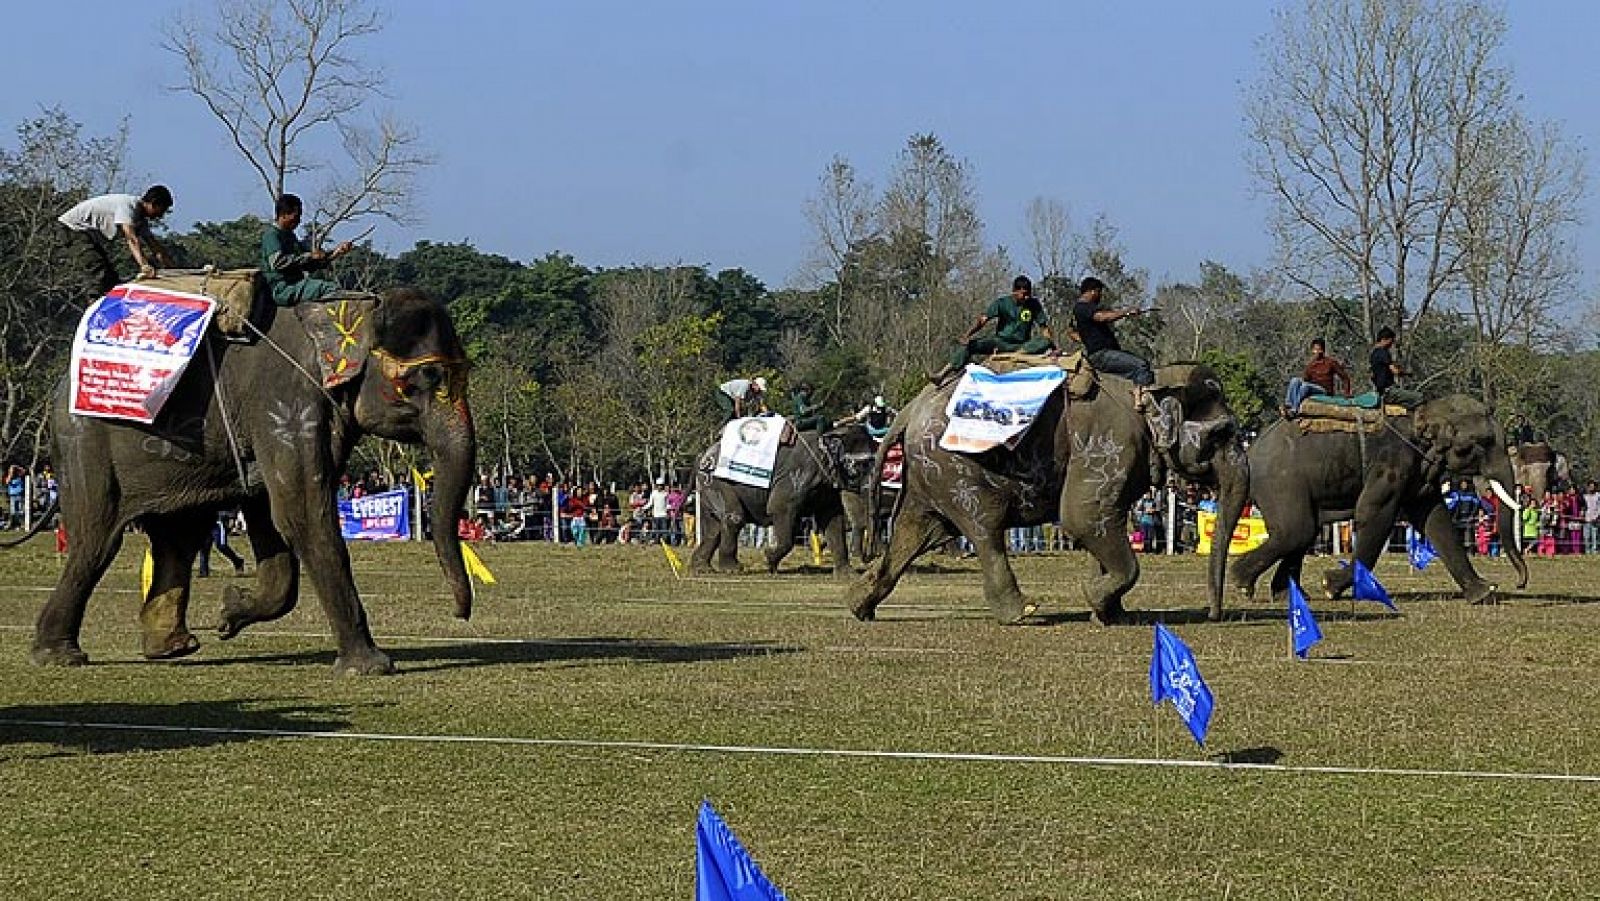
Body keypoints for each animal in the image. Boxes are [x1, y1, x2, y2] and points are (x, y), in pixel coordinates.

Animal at [32, 289, 473, 678]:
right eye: (425, 378)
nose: (459, 613)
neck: (348, 309)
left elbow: (272, 520)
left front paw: (228, 614)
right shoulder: (285, 406)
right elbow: (302, 514)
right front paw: (371, 667)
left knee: (179, 536)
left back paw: (172, 647)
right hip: (84, 446)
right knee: (97, 541)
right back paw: (59, 656)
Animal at [691, 419, 883, 576]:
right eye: (863, 464)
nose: (871, 559)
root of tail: (704, 455)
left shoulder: (828, 487)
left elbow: (833, 520)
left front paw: (848, 575)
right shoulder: (797, 476)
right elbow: (779, 509)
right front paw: (769, 560)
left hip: (709, 487)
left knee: (714, 527)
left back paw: (702, 569)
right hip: (716, 481)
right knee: (734, 518)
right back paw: (732, 569)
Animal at [844, 363, 1254, 624]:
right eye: (1221, 433)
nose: (1215, 615)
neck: (1150, 387)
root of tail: (909, 409)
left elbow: (1103, 522)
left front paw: (1110, 613)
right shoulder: (1112, 445)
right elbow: (1082, 518)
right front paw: (1095, 599)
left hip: (928, 475)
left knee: (916, 532)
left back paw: (859, 605)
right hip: (955, 467)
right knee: (984, 526)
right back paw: (1022, 612)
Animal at [1228, 395, 1529, 604]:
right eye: (1480, 444)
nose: (1520, 583)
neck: (1421, 414)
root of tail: (1250, 450)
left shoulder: (1419, 472)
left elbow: (1435, 519)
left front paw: (1483, 593)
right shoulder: (1391, 465)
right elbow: (1373, 515)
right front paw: (1330, 586)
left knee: (1305, 531)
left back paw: (1286, 594)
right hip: (1281, 482)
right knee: (1297, 530)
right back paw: (1241, 582)